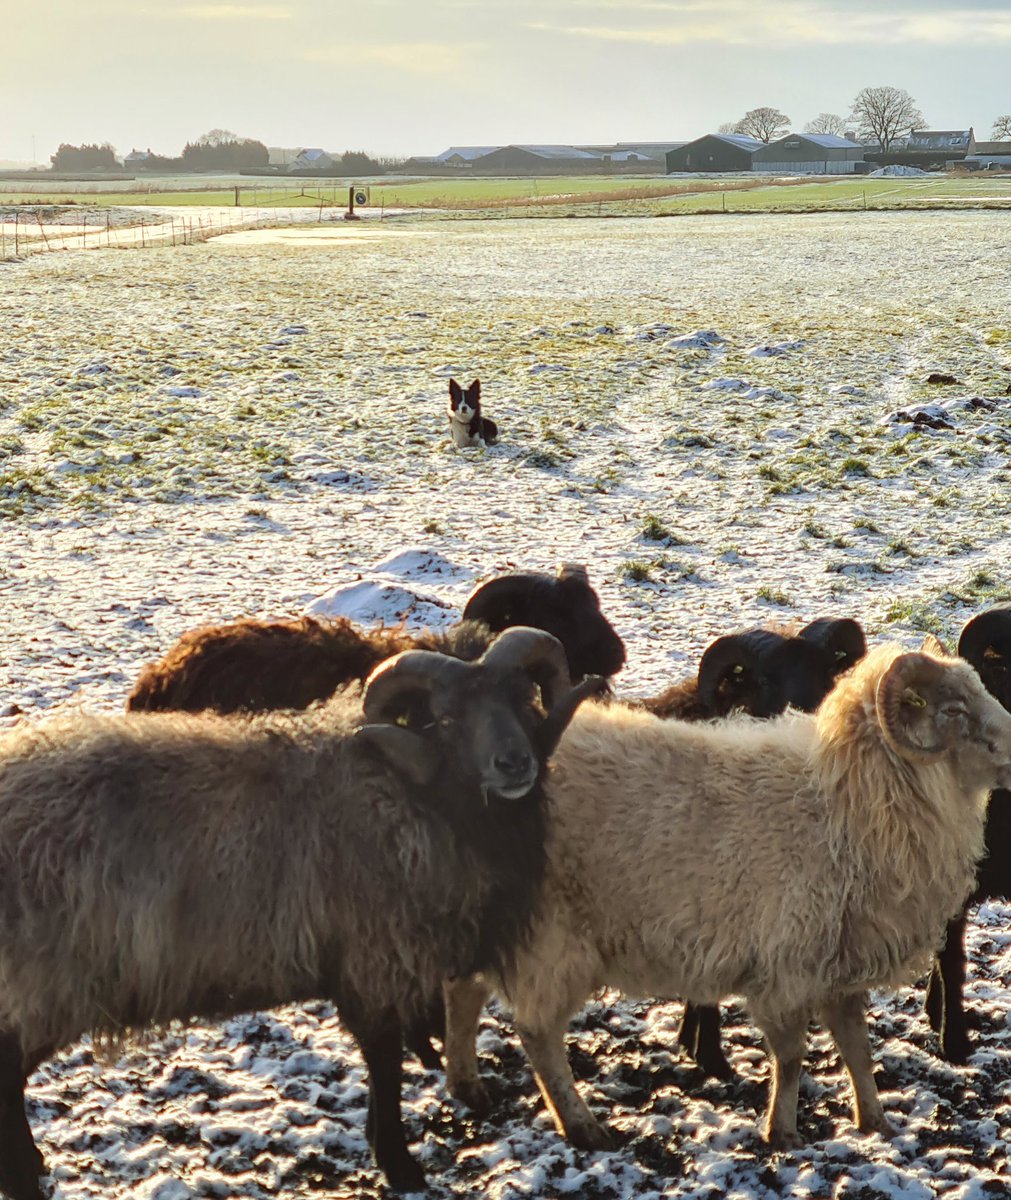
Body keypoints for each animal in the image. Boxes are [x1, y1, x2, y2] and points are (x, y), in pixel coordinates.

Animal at [0, 629, 604, 1200]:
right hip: (45, 985)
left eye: (523, 699)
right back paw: (24, 1177)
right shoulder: (375, 961)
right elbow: (385, 1063)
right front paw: (400, 1166)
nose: (514, 763)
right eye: (448, 718)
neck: (411, 792)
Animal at [442, 639, 1011, 1152]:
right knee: (536, 1033)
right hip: (551, 935)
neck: (846, 806)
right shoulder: (789, 964)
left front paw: (875, 1122)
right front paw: (782, 1133)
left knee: (462, 989)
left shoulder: (838, 963)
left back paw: (467, 1086)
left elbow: (857, 1047)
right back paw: (582, 1126)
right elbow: (791, 1056)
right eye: (953, 710)